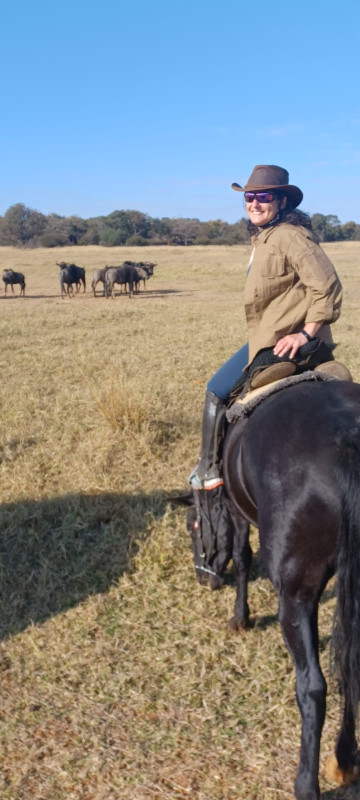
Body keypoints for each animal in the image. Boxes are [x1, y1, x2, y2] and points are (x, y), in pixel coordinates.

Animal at [180, 380, 360, 800]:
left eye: (193, 526)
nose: (203, 578)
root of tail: (348, 441)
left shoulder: (234, 508)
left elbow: (243, 555)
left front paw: (240, 618)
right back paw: (344, 761)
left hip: (295, 598)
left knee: (312, 687)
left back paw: (306, 783)